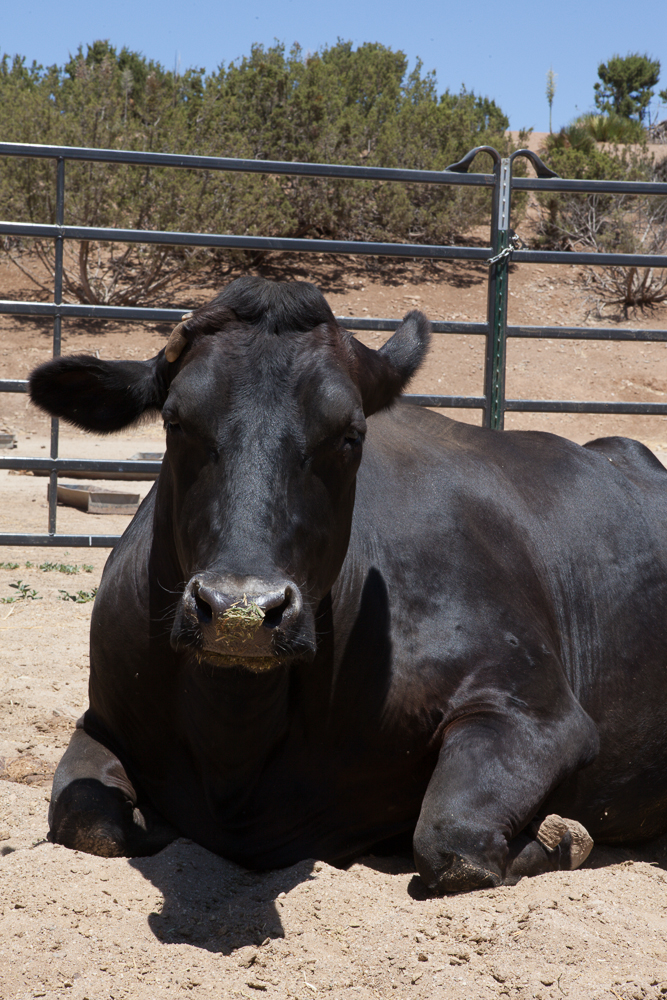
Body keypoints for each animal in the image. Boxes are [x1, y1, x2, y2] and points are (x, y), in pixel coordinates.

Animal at [30, 278, 667, 896]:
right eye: (175, 420)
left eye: (350, 433)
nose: (240, 612)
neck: (236, 742)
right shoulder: (101, 718)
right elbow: (86, 817)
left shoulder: (540, 713)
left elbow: (452, 843)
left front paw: (564, 836)